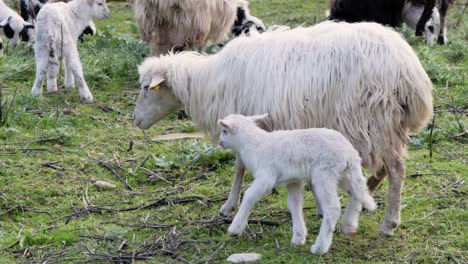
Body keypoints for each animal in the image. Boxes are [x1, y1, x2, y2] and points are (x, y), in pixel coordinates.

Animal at [133, 20, 434, 235]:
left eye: (147, 88)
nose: (136, 121)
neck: (204, 82)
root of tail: (410, 71)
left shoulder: (244, 123)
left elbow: (239, 166)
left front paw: (229, 205)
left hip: (370, 119)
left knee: (396, 168)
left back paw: (389, 223)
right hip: (386, 124)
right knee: (384, 166)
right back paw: (366, 193)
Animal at [217, 113, 376, 256]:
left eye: (224, 131)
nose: (220, 142)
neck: (254, 144)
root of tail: (350, 153)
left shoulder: (266, 177)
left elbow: (249, 195)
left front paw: (235, 228)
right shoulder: (293, 180)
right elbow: (294, 205)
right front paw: (299, 237)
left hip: (324, 173)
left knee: (333, 208)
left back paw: (320, 248)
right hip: (342, 173)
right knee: (358, 190)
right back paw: (350, 225)